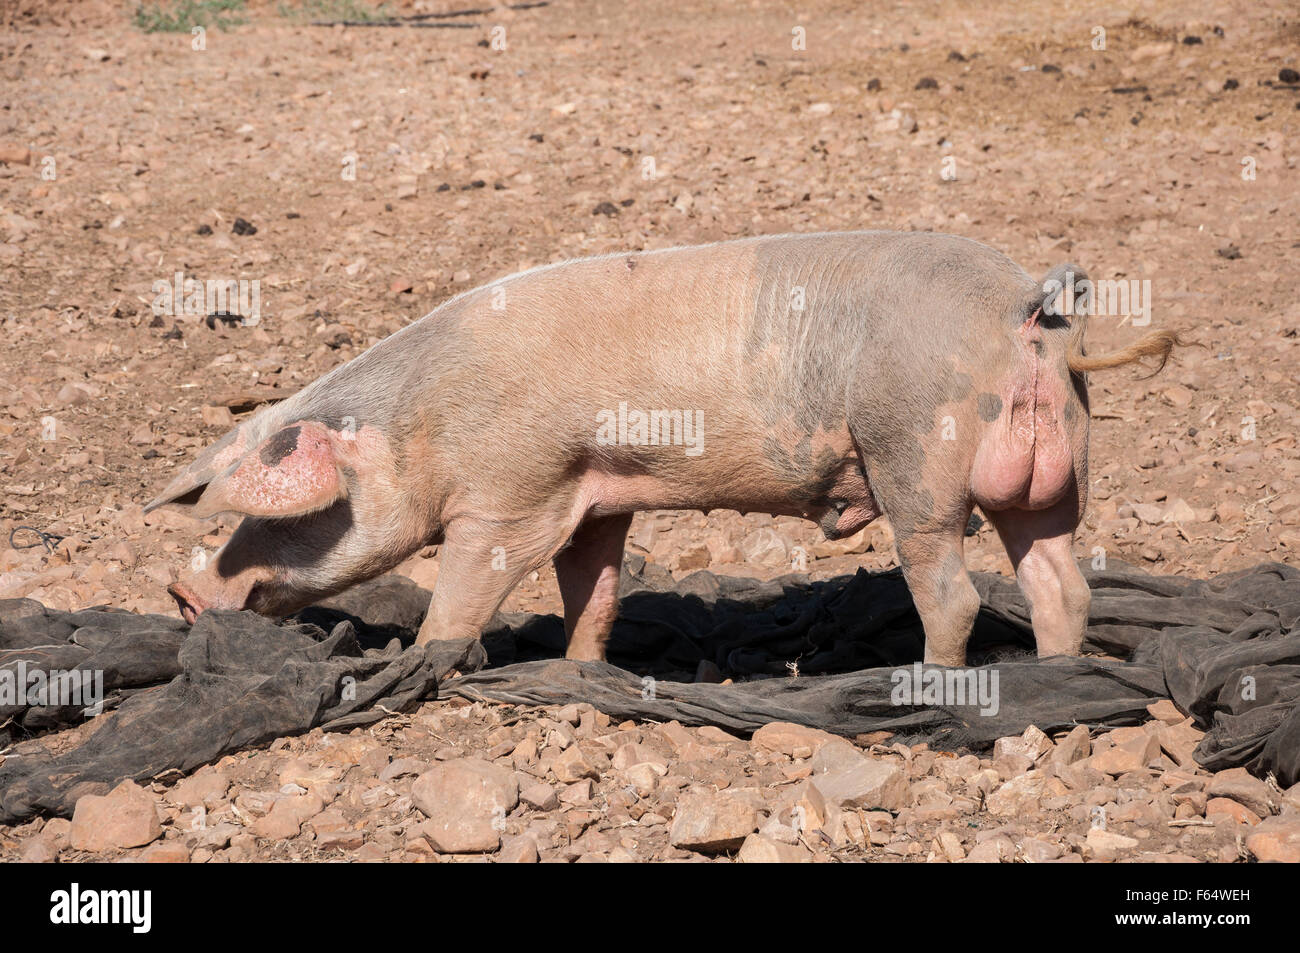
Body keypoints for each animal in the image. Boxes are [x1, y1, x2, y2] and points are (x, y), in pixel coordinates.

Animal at [144, 231, 1180, 665]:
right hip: (1059, 474)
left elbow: (468, 585)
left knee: (955, 590)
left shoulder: (511, 492)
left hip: (916, 458)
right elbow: (592, 590)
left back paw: (936, 688)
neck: (423, 427)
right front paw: (580, 672)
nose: (180, 593)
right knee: (1060, 580)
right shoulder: (596, 495)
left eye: (271, 516)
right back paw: (1054, 676)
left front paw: (430, 663)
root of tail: (1030, 311)